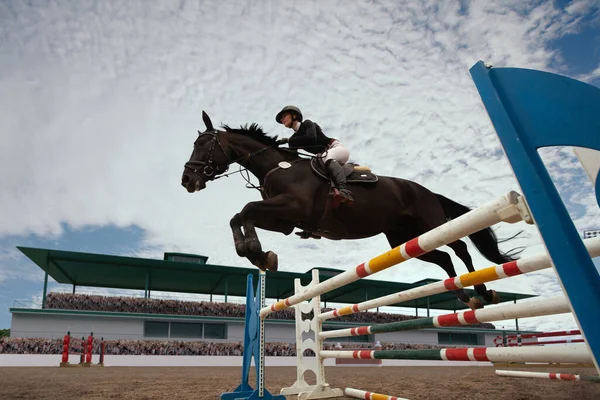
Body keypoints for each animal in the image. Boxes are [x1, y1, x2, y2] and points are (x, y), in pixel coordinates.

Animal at [179, 111, 520, 310]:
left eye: (203, 145)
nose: (187, 180)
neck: (277, 167)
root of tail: (427, 191)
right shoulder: (285, 220)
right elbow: (240, 215)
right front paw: (259, 255)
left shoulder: (291, 206)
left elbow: (246, 209)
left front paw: (257, 253)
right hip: (402, 239)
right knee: (443, 258)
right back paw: (464, 295)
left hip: (431, 224)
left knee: (460, 248)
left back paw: (483, 291)